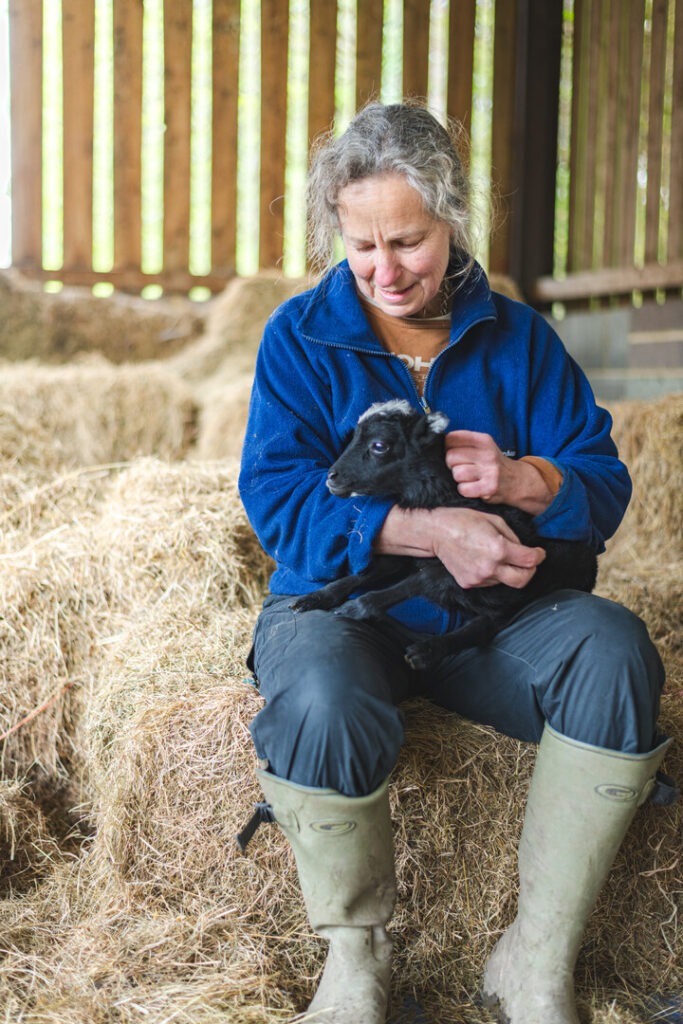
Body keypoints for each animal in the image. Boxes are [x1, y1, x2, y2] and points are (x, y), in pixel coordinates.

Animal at [291, 400, 598, 670]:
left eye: (379, 446)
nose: (332, 478)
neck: (445, 495)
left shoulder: (457, 570)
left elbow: (405, 586)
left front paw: (353, 609)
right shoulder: (409, 551)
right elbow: (361, 576)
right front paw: (315, 598)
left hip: (516, 596)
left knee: (479, 629)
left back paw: (426, 650)